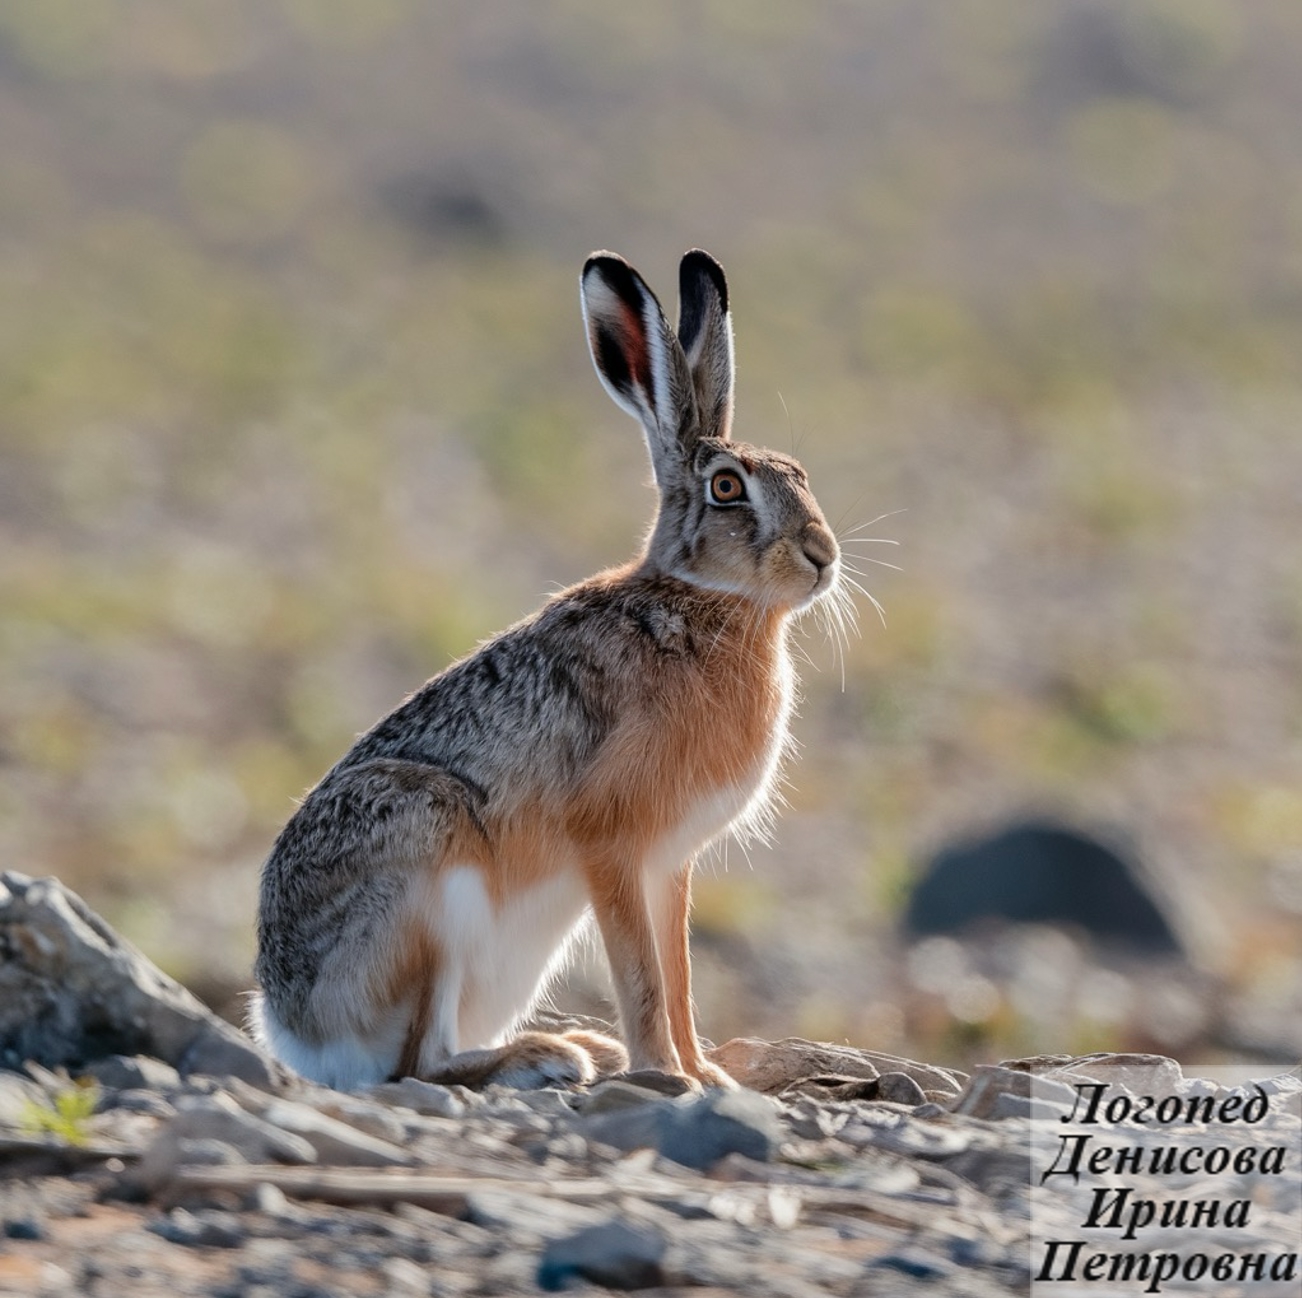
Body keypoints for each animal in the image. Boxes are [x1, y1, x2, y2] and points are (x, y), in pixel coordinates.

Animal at [250, 249, 842, 1092]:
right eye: (727, 487)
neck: (704, 604)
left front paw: (707, 1074)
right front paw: (668, 1075)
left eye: (800, 474)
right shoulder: (611, 842)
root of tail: (288, 1024)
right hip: (430, 870)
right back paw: (550, 1055)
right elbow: (642, 975)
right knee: (418, 1062)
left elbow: (679, 976)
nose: (823, 556)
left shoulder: (670, 867)